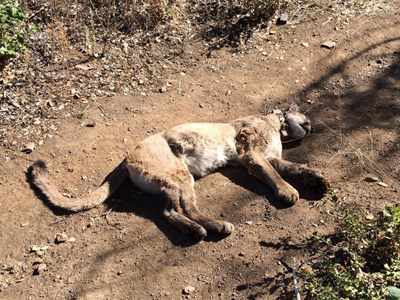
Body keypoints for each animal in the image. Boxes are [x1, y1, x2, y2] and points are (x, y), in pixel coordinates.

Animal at [28, 105, 328, 239]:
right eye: (307, 118)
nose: (312, 127)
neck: (276, 125)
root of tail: (127, 156)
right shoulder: (252, 155)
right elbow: (274, 175)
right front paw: (288, 191)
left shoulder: (269, 157)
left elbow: (295, 167)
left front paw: (316, 181)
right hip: (179, 174)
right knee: (184, 207)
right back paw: (215, 226)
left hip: (173, 180)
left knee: (169, 210)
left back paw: (195, 229)